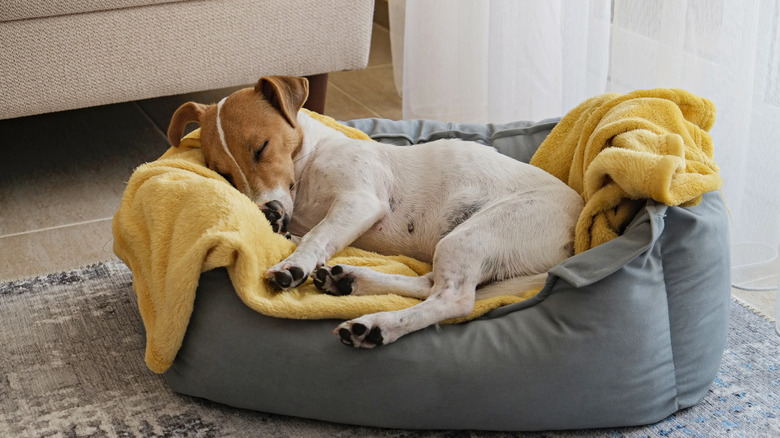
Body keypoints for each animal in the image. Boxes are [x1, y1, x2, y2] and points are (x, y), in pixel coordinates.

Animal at [168, 76, 580, 350]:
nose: (267, 213)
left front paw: (292, 266)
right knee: (429, 283)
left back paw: (375, 325)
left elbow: (317, 236)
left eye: (261, 148)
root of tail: (575, 237)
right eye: (222, 173)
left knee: (453, 299)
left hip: (471, 235)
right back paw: (350, 279)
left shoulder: (360, 201)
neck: (310, 163)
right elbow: (307, 236)